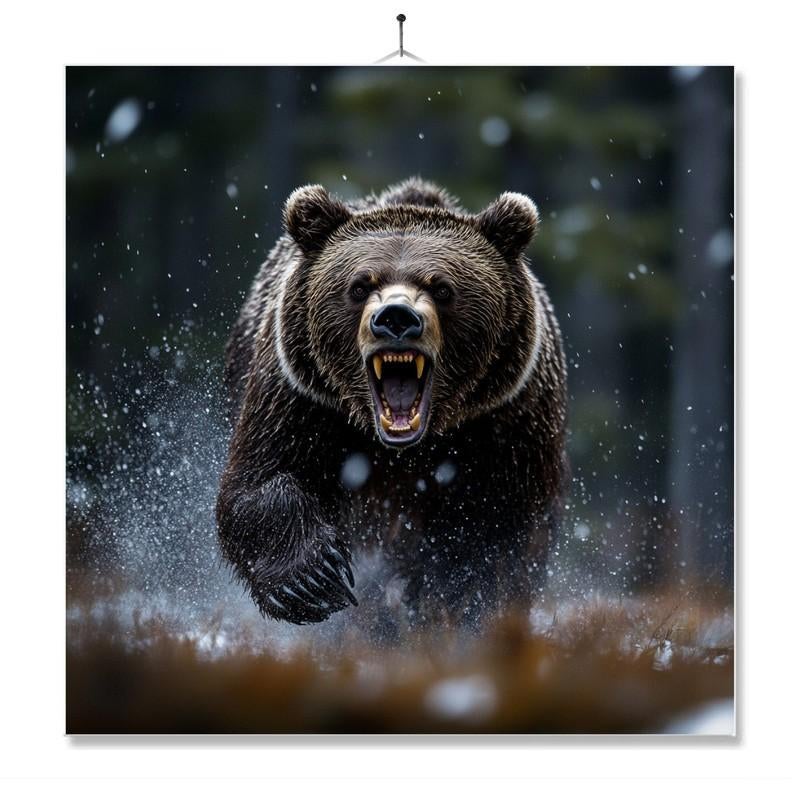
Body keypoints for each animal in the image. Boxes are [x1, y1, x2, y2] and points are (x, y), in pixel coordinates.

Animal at [216, 177, 568, 628]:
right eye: (360, 285)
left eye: (442, 287)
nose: (396, 317)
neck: (405, 447)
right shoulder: (300, 397)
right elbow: (259, 481)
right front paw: (312, 579)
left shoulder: (508, 418)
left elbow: (500, 529)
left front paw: (455, 597)